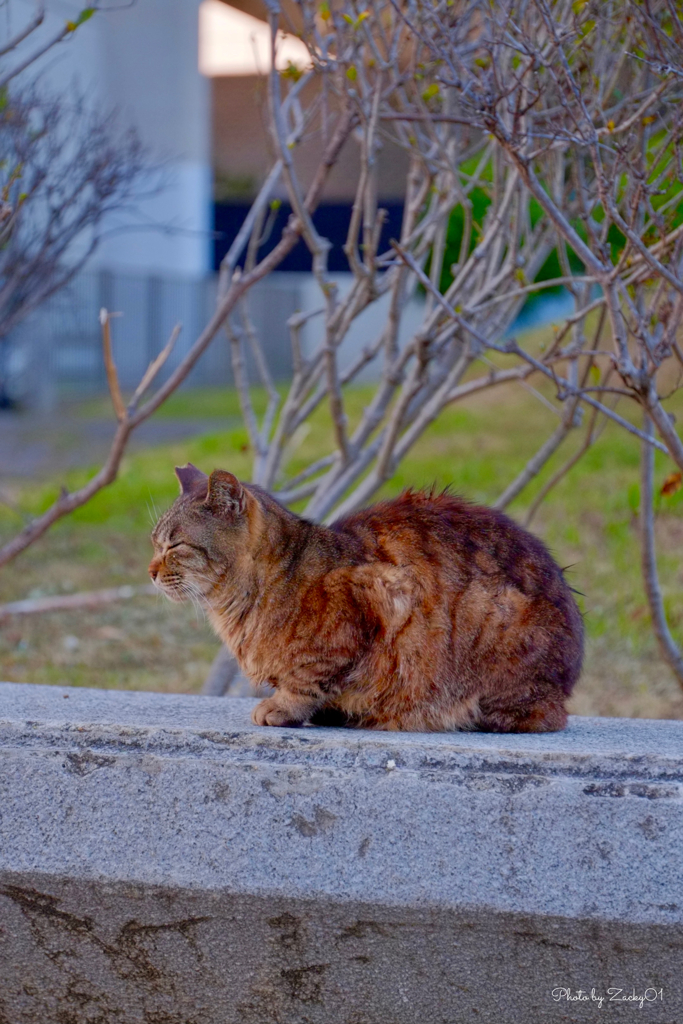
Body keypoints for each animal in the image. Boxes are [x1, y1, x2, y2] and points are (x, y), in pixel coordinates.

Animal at [148, 460, 581, 733]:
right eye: (154, 542)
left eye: (175, 546)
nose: (150, 571)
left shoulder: (372, 598)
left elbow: (307, 678)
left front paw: (282, 707)